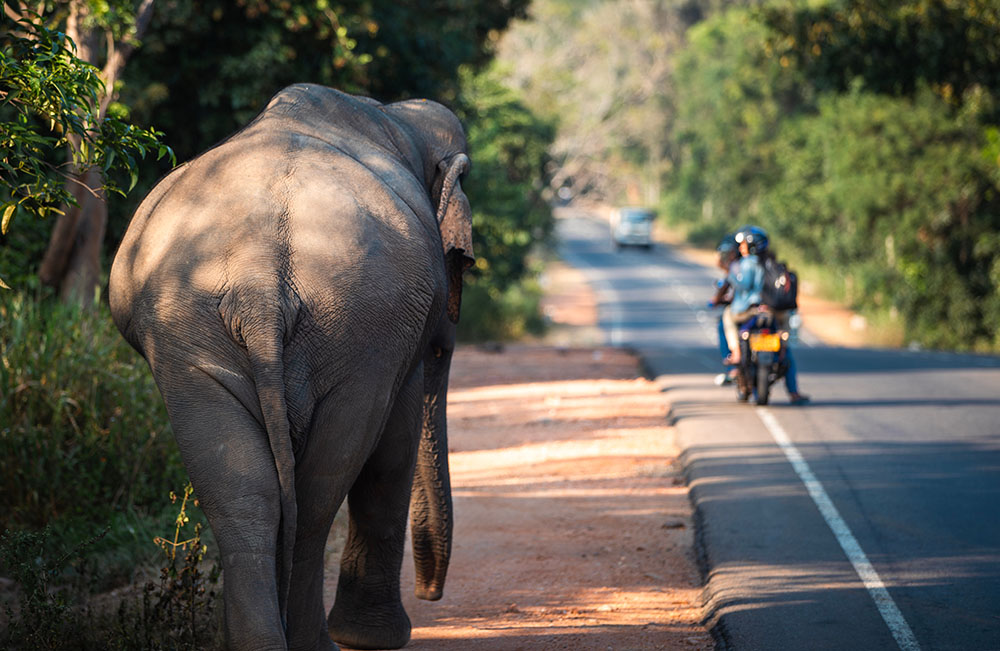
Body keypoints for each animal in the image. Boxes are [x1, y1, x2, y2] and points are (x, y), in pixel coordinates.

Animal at [107, 84, 474, 648]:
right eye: (437, 352)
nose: (431, 592)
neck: (394, 116)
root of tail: (258, 272)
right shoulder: (399, 340)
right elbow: (395, 444)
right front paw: (377, 639)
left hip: (190, 336)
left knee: (245, 491)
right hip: (355, 329)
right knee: (321, 487)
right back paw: (315, 642)